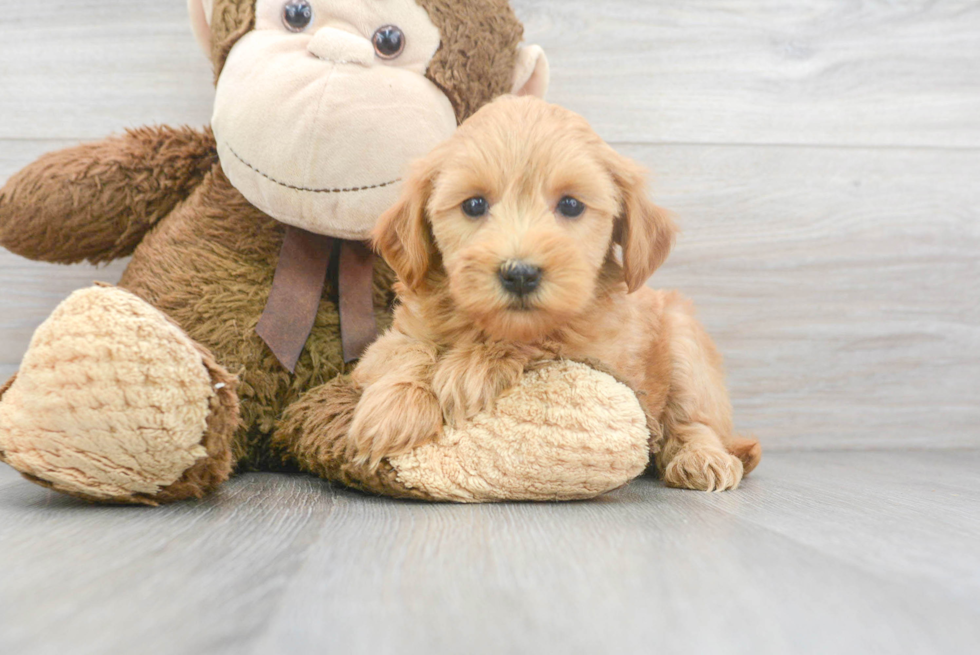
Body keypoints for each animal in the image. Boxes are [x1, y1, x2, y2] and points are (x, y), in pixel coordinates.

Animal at [348, 95, 760, 490]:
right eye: (474, 205)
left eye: (571, 204)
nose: (520, 274)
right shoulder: (387, 342)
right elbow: (409, 349)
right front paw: (395, 406)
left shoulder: (602, 353)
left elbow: (546, 339)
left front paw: (472, 367)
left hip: (684, 343)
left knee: (695, 422)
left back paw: (702, 458)